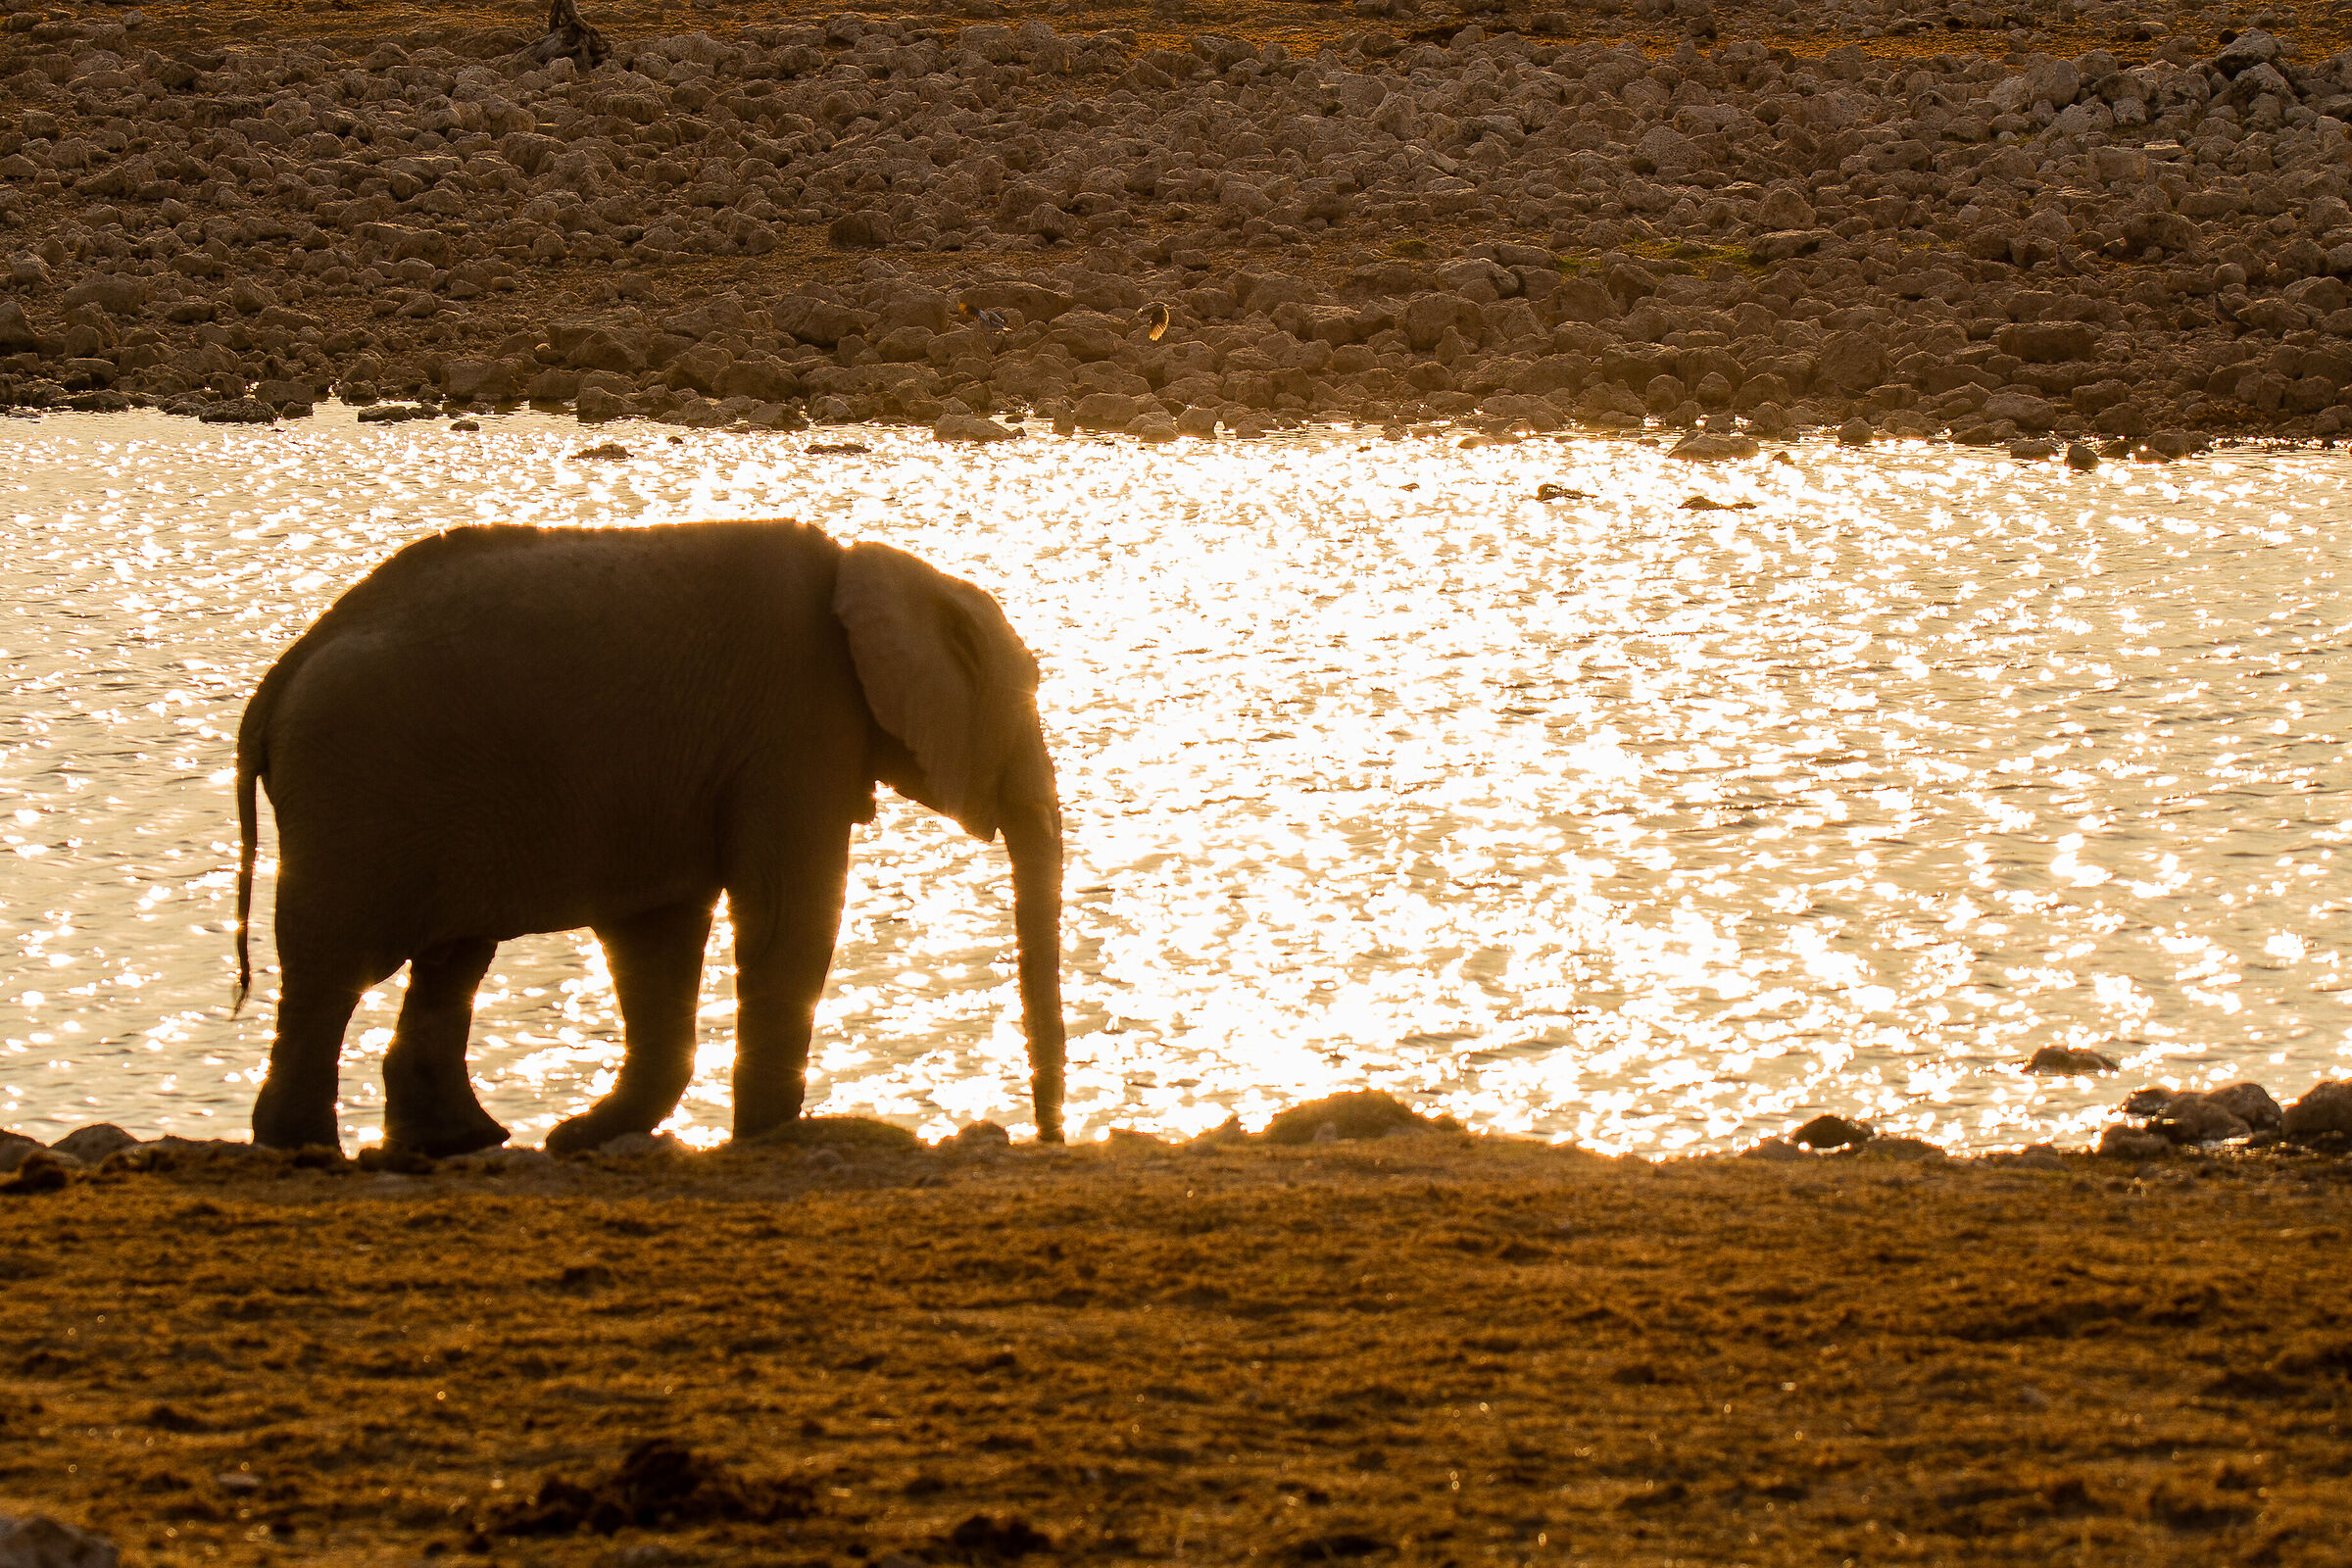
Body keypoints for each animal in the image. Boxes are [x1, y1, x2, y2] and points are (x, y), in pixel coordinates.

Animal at [231, 518, 1064, 1156]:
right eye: (1028, 690)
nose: (1047, 1138)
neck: (878, 568)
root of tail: (279, 678)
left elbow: (657, 939)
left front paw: (581, 1136)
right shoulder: (796, 723)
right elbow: (787, 919)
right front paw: (764, 1139)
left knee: (450, 963)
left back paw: (462, 1141)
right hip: (354, 793)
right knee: (334, 971)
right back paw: (305, 1146)